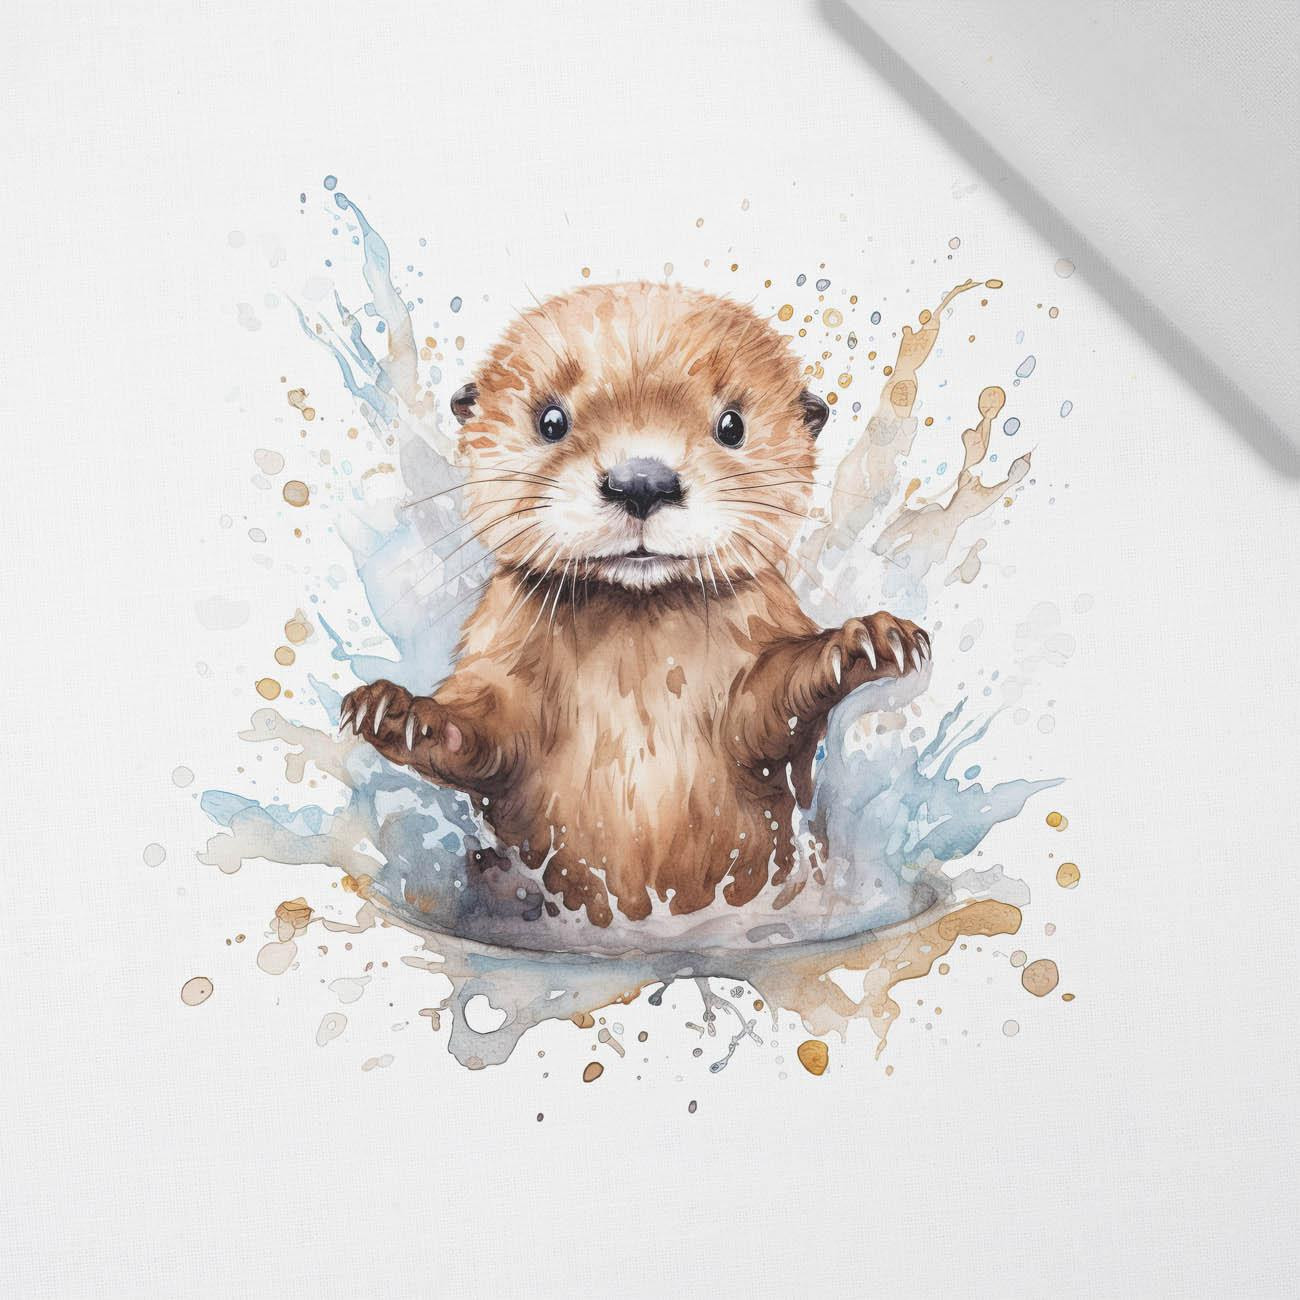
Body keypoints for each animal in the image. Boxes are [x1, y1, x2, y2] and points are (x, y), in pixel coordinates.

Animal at [340, 282, 928, 927]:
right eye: (551, 421)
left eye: (731, 425)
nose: (642, 482)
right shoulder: (499, 655)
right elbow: (485, 728)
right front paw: (399, 712)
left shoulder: (758, 643)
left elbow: (771, 702)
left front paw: (865, 640)